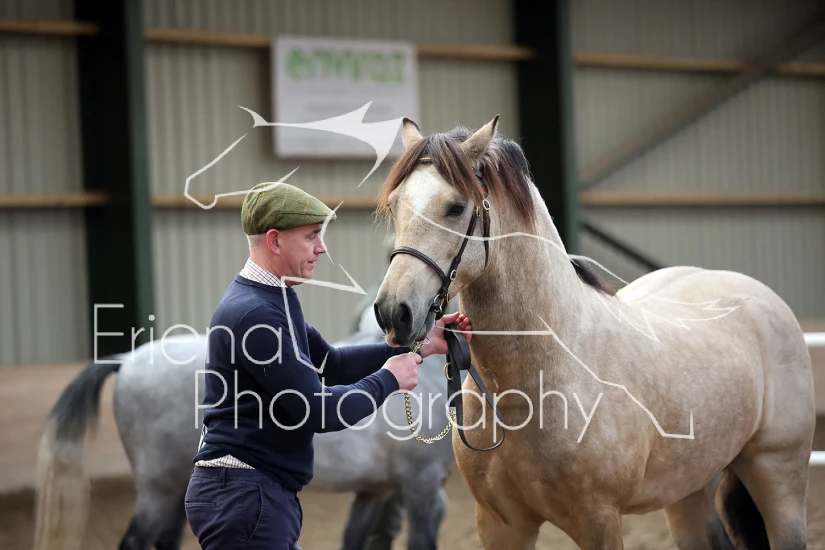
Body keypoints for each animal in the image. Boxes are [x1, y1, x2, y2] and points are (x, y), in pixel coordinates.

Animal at [372, 115, 816, 549]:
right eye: (395, 206)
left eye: (455, 207)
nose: (394, 313)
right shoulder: (501, 524)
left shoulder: (599, 521)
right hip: (688, 490)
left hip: (778, 476)